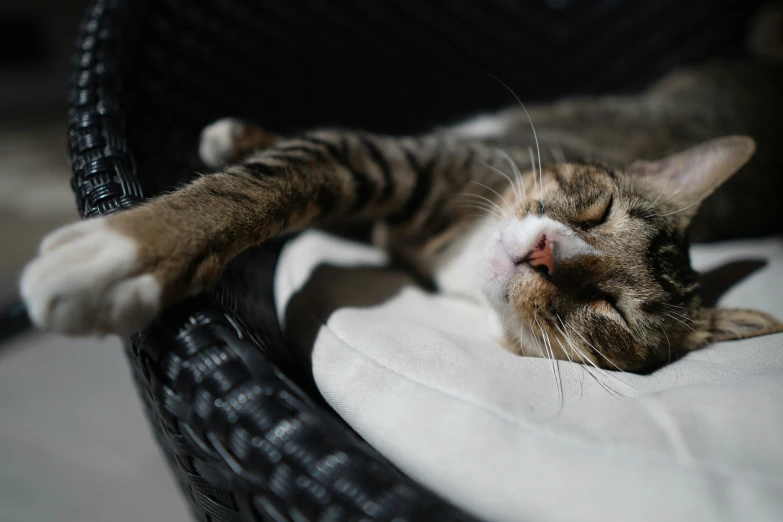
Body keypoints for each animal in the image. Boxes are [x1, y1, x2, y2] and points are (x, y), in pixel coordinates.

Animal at [16, 58, 783, 374]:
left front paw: (119, 253)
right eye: (597, 213)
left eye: (608, 310)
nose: (544, 253)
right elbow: (287, 171)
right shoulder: (406, 163)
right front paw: (128, 244)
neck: (459, 262)